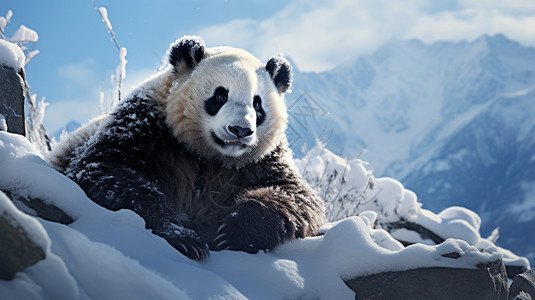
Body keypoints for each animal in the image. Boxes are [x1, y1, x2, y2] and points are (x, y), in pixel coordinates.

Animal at [48, 35, 326, 260]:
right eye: (220, 95)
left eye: (257, 105)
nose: (240, 130)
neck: (209, 155)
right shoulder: (147, 127)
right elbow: (105, 170)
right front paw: (184, 238)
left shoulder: (262, 159)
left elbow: (295, 195)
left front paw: (234, 234)